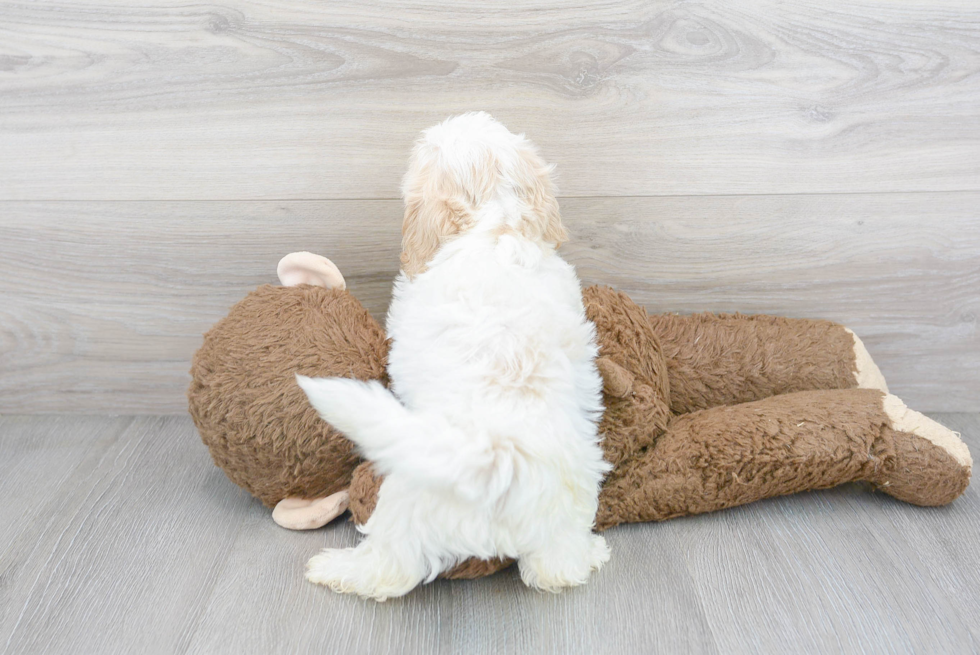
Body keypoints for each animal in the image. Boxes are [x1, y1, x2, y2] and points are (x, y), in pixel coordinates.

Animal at [298, 111, 608, 600]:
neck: (496, 227)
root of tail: (498, 458)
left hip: (407, 500)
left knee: (389, 568)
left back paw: (336, 569)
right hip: (569, 501)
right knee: (556, 569)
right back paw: (591, 553)